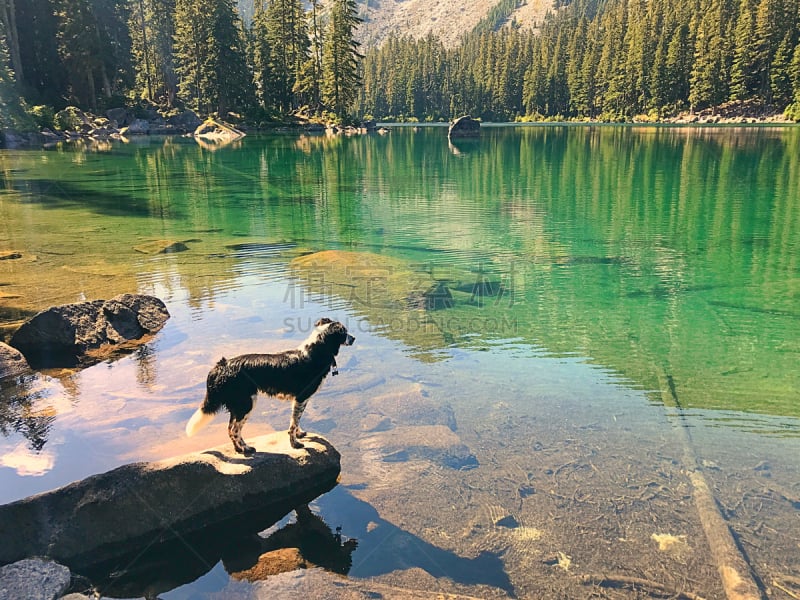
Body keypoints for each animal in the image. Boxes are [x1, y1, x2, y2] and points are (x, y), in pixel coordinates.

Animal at [186, 318, 354, 450]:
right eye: (344, 331)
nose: (353, 338)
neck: (316, 351)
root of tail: (222, 365)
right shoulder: (301, 397)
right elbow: (293, 423)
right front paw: (295, 444)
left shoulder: (300, 400)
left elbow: (296, 420)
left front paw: (299, 434)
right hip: (247, 404)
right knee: (234, 430)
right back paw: (246, 449)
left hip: (238, 405)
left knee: (229, 429)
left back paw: (239, 449)